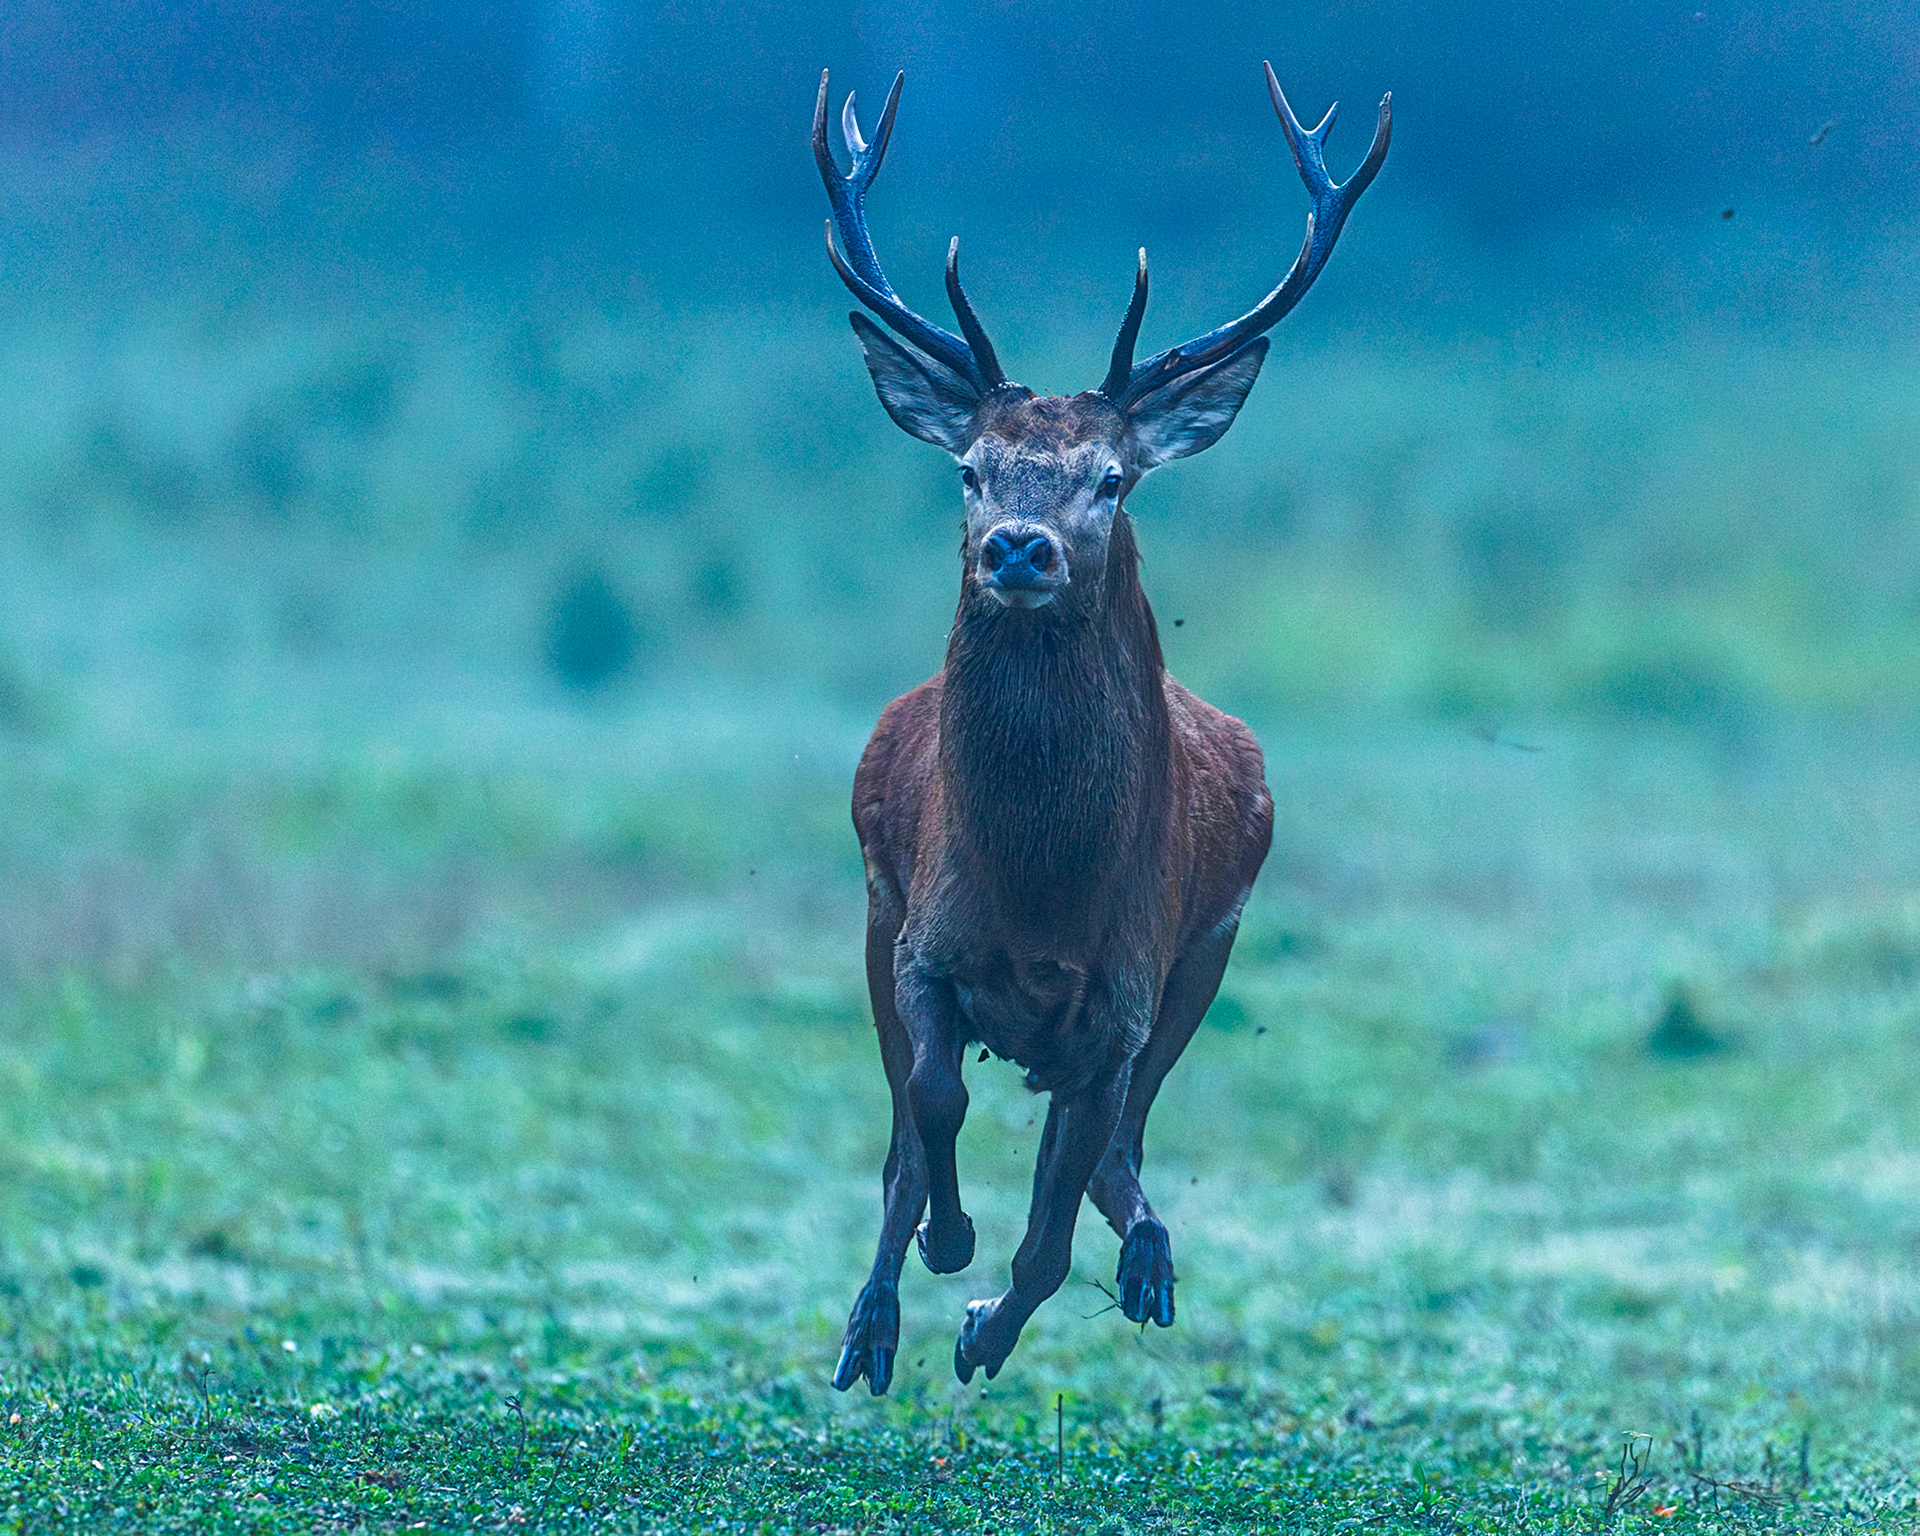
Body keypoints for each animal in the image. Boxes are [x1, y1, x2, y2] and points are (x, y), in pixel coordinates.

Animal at [814, 60, 1390, 1394]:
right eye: (969, 467)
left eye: (1112, 478)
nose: (1017, 549)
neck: (1039, 896)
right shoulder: (918, 934)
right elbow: (931, 1109)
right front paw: (940, 1253)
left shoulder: (1125, 999)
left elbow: (1050, 1230)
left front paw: (985, 1328)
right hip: (871, 907)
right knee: (904, 1139)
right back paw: (880, 1313)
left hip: (1206, 959)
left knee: (1121, 1152)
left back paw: (1147, 1258)